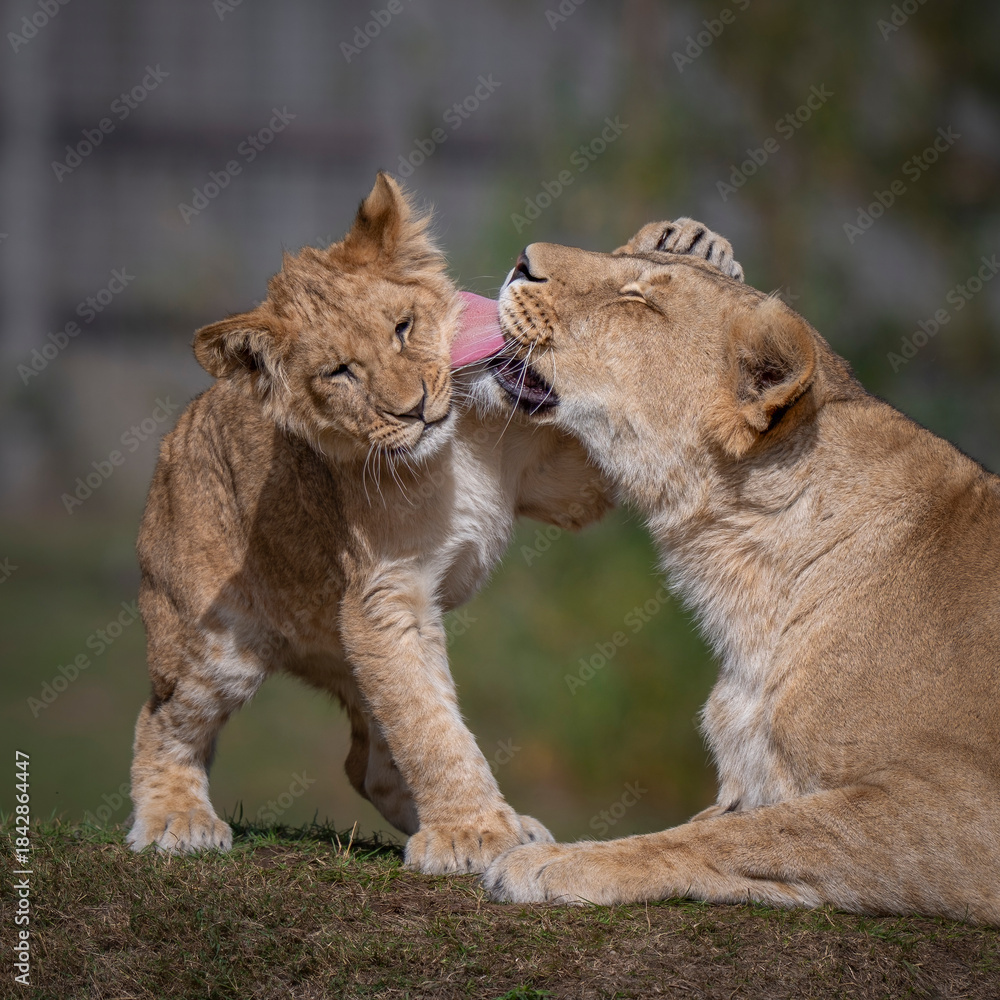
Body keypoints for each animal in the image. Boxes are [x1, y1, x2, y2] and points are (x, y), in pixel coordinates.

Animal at [127, 174, 739, 873]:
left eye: (403, 327)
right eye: (340, 372)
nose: (414, 409)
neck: (455, 444)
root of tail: (171, 442)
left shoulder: (562, 480)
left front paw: (689, 244)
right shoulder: (385, 595)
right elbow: (430, 728)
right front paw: (471, 832)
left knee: (369, 763)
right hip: (213, 642)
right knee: (161, 719)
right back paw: (176, 821)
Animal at [477, 223, 1000, 923]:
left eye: (640, 301)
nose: (521, 261)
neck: (744, 576)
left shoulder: (965, 802)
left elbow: (768, 831)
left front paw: (560, 861)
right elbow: (723, 826)